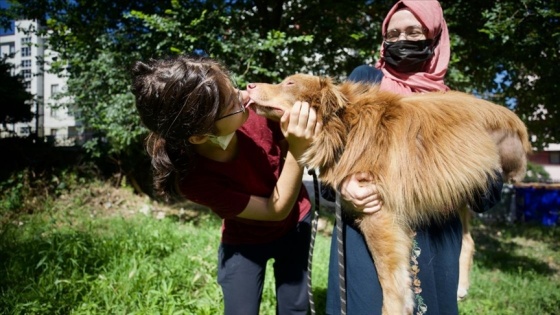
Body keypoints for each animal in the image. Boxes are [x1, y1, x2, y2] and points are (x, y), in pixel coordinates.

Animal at [247, 73, 532, 314]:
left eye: (290, 83)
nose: (249, 84)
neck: (345, 126)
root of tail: (514, 121)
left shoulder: (379, 215)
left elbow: (392, 282)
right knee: (468, 240)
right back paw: (460, 287)